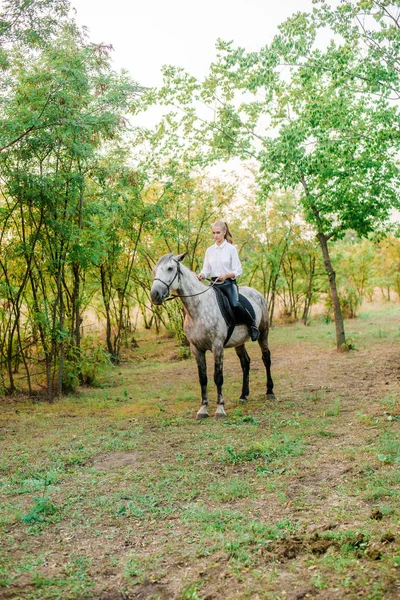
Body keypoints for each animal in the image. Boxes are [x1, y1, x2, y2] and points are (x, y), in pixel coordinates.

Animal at [150, 252, 276, 418]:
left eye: (170, 268)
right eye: (155, 270)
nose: (155, 295)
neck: (198, 309)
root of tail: (257, 294)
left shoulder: (217, 346)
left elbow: (218, 377)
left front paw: (220, 408)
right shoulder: (196, 349)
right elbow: (203, 378)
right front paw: (203, 408)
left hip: (264, 334)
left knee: (266, 359)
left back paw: (270, 391)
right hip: (239, 342)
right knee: (245, 363)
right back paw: (243, 395)